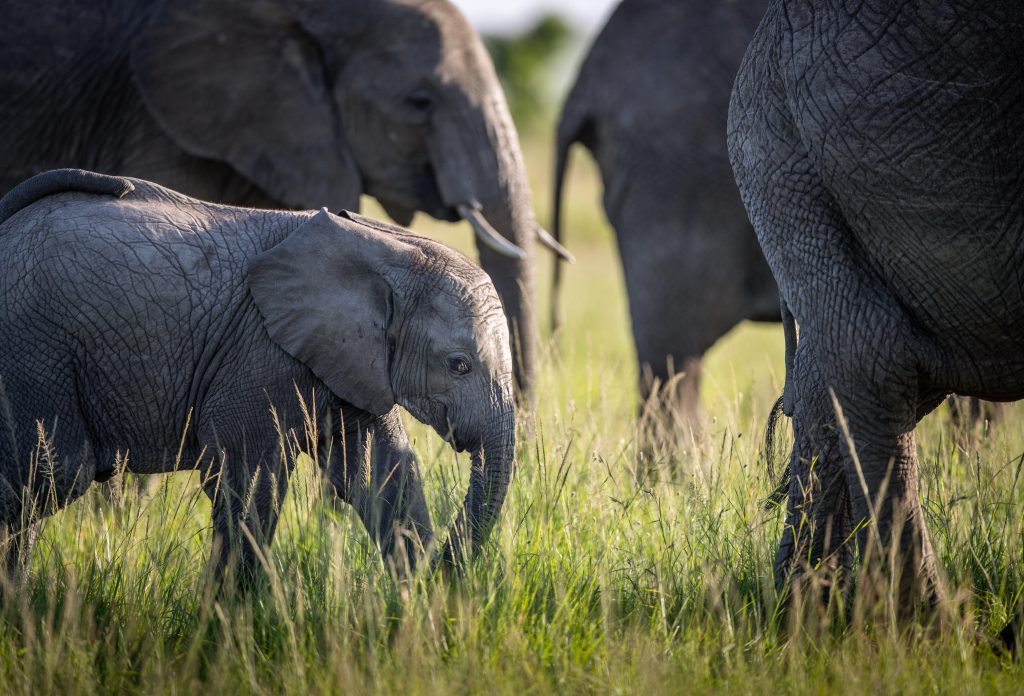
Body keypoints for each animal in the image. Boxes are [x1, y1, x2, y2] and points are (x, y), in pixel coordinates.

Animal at [0, 168, 516, 586]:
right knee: (55, 471)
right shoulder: (260, 356)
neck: (388, 248)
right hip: (34, 347)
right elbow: (249, 482)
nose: (444, 571)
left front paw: (421, 607)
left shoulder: (348, 362)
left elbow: (384, 474)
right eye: (458, 364)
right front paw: (221, 629)